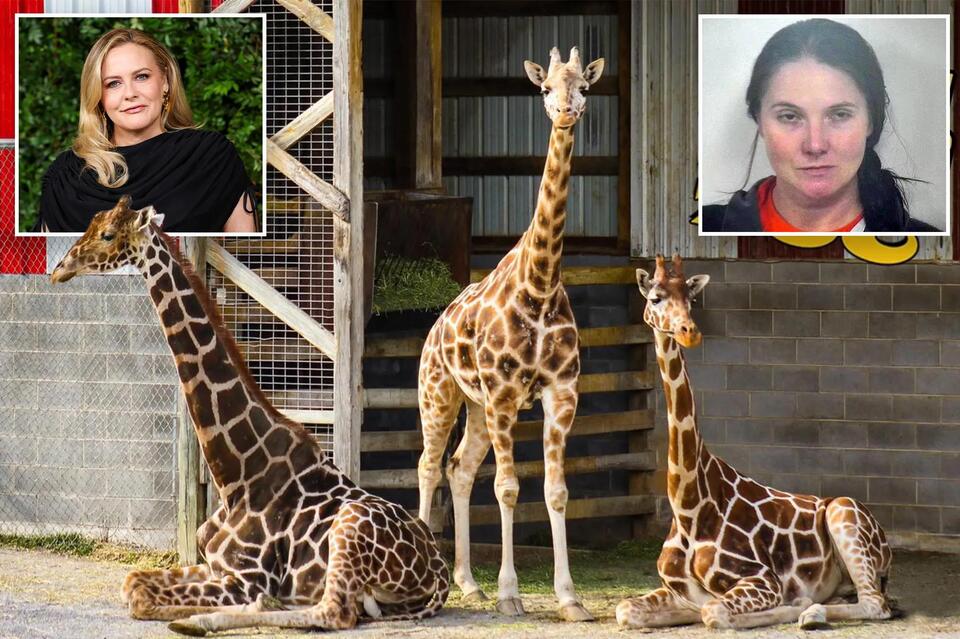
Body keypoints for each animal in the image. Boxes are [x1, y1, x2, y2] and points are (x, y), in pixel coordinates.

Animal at [50, 196, 449, 636]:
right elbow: (133, 581)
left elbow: (140, 597)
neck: (234, 475)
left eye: (107, 234)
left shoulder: (244, 578)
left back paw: (200, 620)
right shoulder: (210, 565)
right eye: (92, 223)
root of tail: (439, 571)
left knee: (333, 612)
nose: (60, 268)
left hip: (349, 529)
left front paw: (193, 612)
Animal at [416, 46, 603, 623]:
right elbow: (506, 488)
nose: (564, 112)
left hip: (475, 409)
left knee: (458, 469)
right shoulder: (503, 394)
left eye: (583, 87)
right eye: (544, 89)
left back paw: (467, 583)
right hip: (440, 394)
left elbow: (555, 490)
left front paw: (570, 598)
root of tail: (434, 327)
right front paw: (510, 594)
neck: (539, 284)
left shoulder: (561, 392)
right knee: (429, 465)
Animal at [615, 254, 893, 631]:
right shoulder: (678, 593)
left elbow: (714, 612)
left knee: (876, 603)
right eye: (656, 298)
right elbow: (625, 609)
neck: (688, 505)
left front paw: (795, 604)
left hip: (844, 513)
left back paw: (811, 612)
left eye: (692, 299)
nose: (690, 332)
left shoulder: (762, 580)